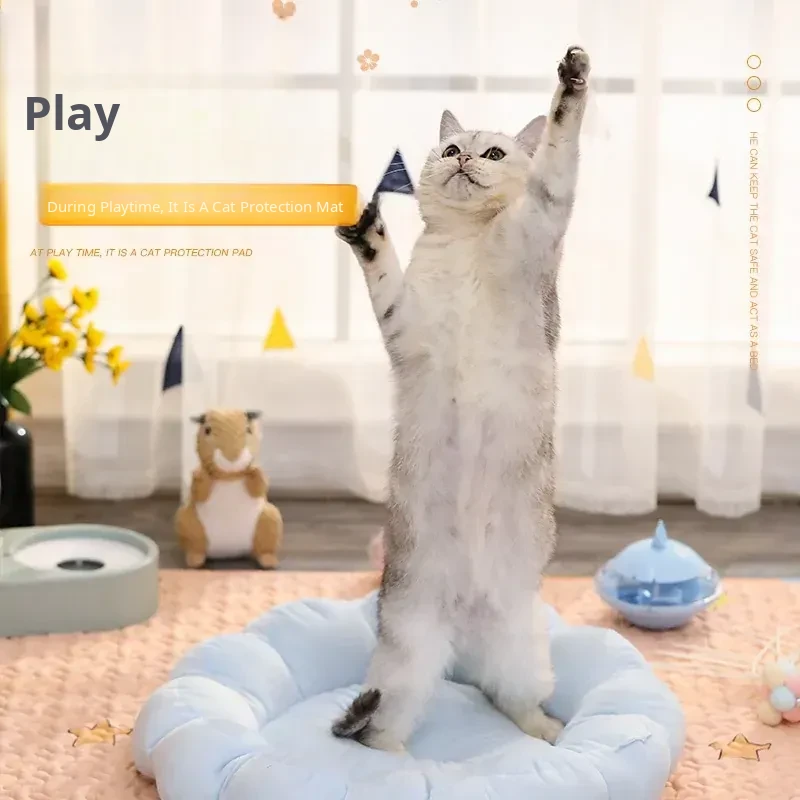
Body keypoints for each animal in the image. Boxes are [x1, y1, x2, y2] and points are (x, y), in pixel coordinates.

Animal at [331, 46, 590, 752]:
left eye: (494, 152)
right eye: (449, 147)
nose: (463, 160)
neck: (473, 241)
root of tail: (465, 627)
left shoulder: (544, 217)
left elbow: (558, 151)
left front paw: (572, 80)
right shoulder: (407, 327)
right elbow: (382, 271)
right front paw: (368, 229)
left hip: (523, 650)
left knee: (510, 700)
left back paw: (550, 734)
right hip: (406, 655)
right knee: (382, 726)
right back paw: (396, 759)